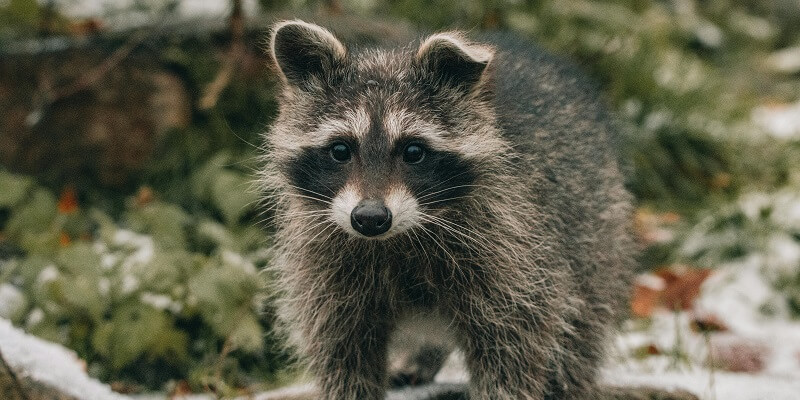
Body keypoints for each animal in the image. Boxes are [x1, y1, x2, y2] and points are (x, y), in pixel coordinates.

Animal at [260, 20, 635, 400]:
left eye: (413, 151)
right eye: (340, 150)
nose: (370, 218)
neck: (397, 239)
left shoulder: (514, 248)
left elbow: (512, 346)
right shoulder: (326, 271)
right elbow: (342, 352)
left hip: (593, 228)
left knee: (580, 328)